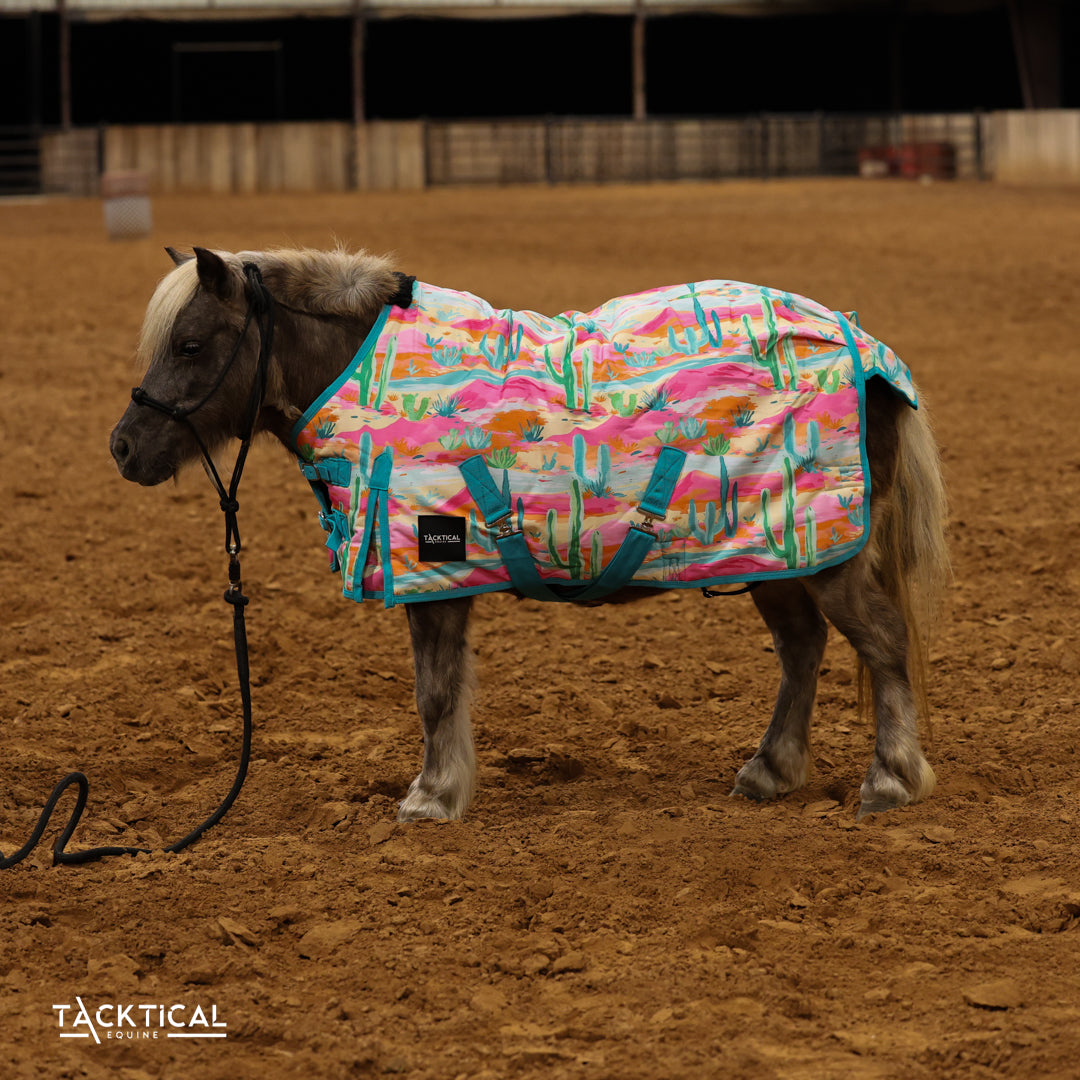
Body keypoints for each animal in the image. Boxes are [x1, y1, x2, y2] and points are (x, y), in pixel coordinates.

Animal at [110, 246, 948, 823]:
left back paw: (889, 778)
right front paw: (443, 788)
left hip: (820, 554)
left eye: (190, 344)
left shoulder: (437, 572)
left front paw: (431, 796)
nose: (123, 446)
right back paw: (770, 771)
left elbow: (435, 692)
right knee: (803, 648)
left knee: (881, 642)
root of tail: (872, 359)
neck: (369, 371)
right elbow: (441, 689)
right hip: (775, 552)